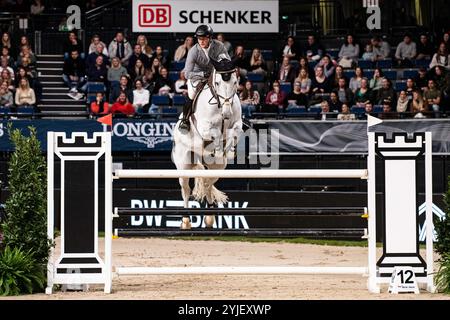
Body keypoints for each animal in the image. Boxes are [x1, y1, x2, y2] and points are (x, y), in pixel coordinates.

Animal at [171, 58, 243, 229]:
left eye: (235, 82)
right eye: (217, 83)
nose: (226, 113)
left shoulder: (237, 123)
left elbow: (234, 131)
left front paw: (229, 150)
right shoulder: (204, 127)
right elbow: (215, 133)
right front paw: (218, 148)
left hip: (217, 168)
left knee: (207, 183)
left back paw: (209, 216)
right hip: (184, 164)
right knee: (186, 189)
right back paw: (186, 221)